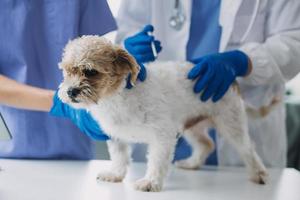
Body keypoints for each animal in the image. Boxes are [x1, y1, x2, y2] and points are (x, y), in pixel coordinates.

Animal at [58, 36, 268, 192]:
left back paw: (258, 174)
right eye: (66, 72)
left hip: (231, 123)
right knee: (206, 144)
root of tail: (231, 78)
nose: (70, 91)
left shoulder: (162, 135)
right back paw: (192, 164)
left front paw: (150, 182)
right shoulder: (116, 137)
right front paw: (116, 174)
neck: (118, 98)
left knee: (248, 148)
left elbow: (157, 160)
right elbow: (120, 157)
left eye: (90, 71)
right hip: (192, 127)